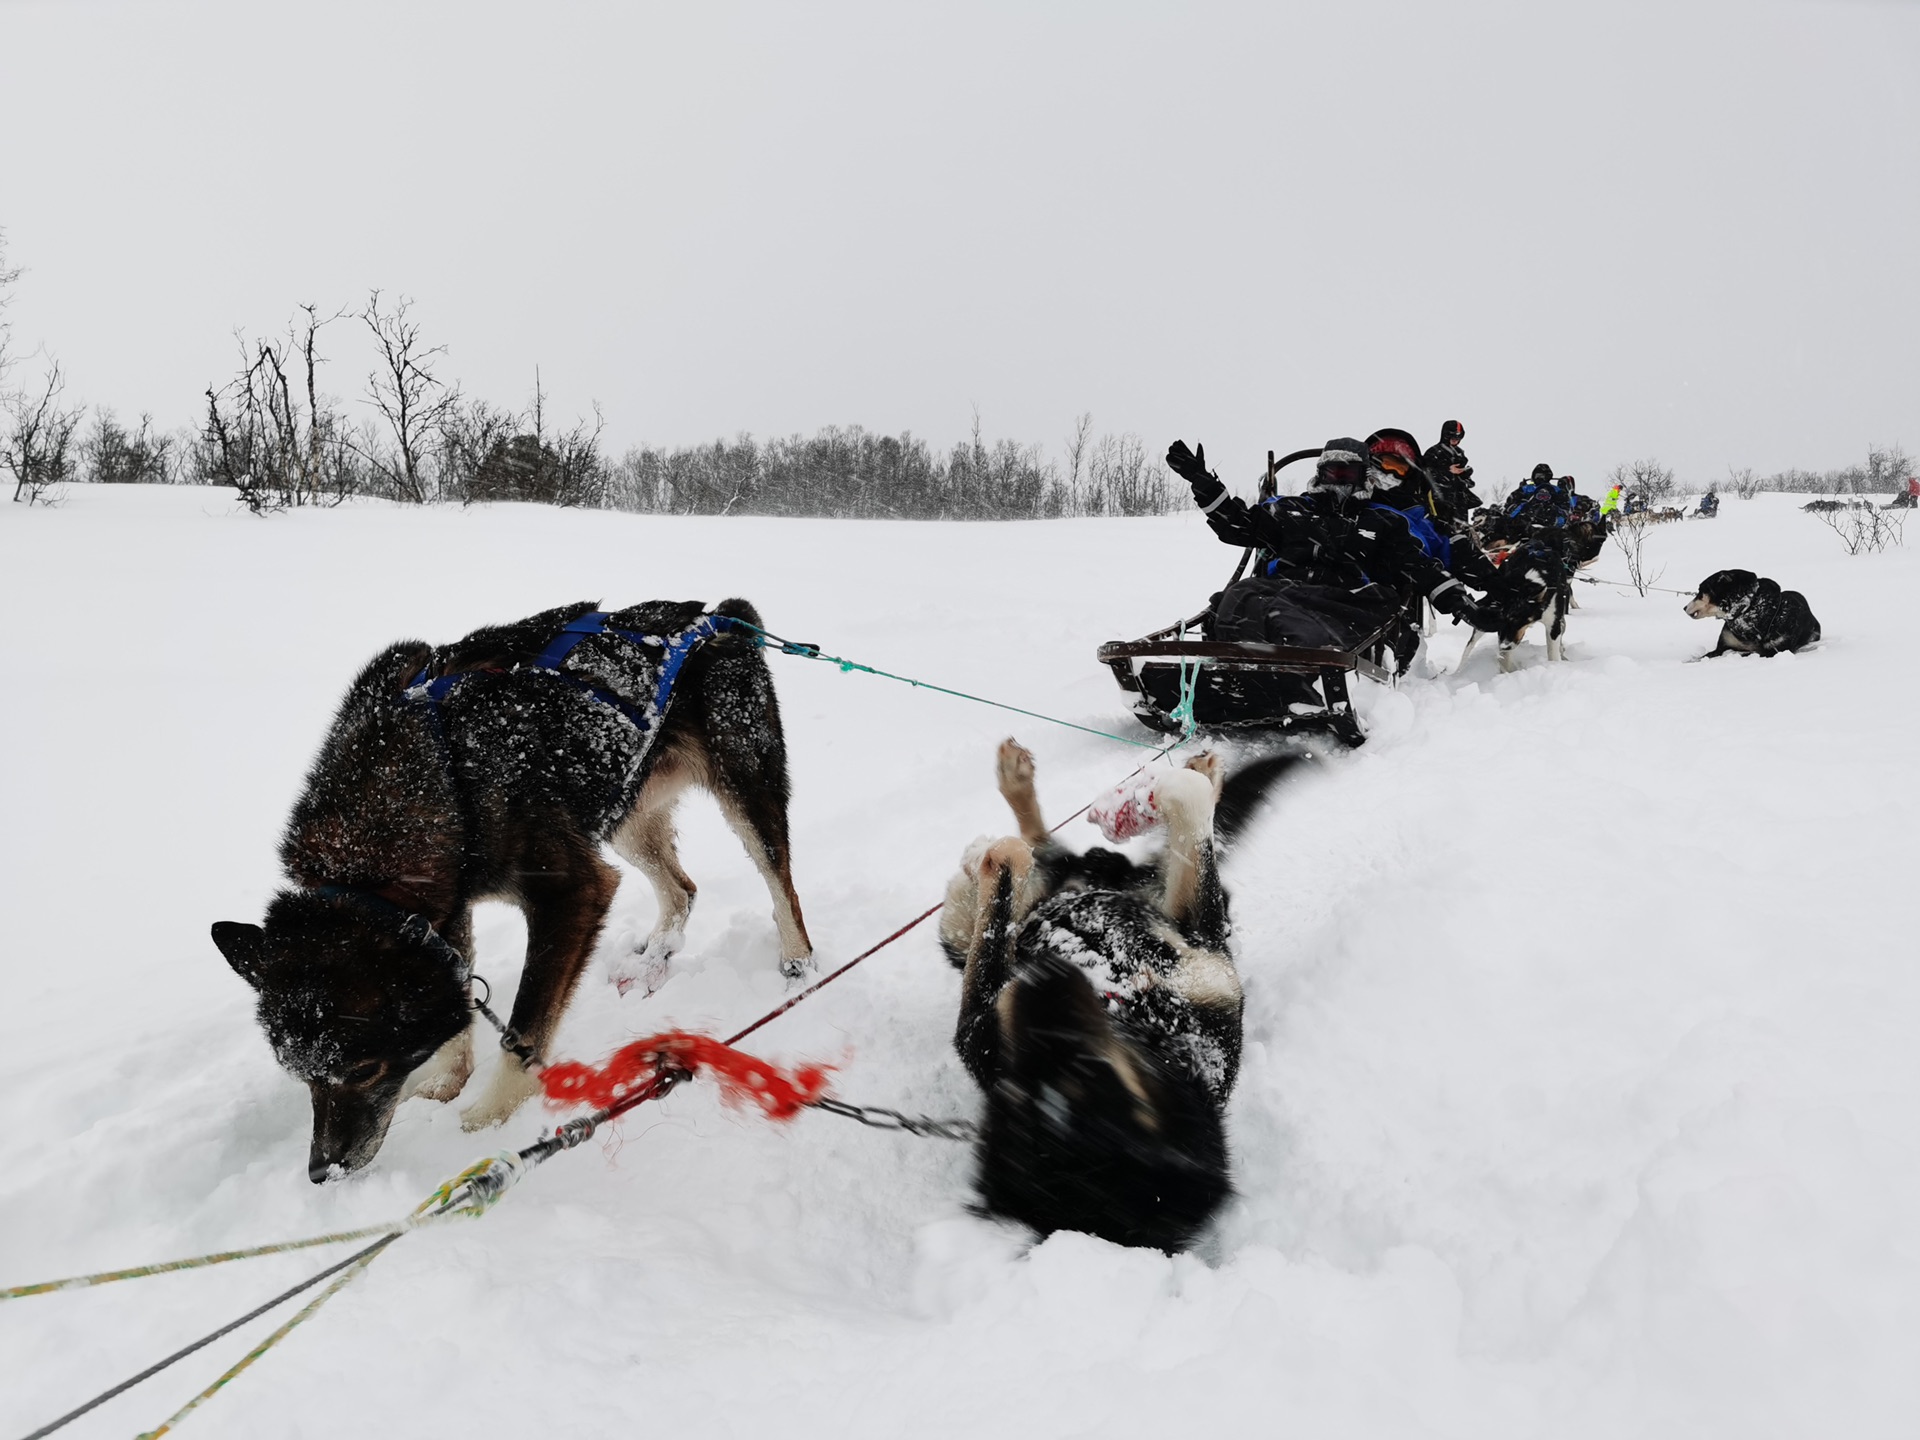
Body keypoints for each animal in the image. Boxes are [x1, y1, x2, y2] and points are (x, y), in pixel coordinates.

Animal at [210, 599, 810, 1182]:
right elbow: (458, 1015)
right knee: (682, 889)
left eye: (361, 1069)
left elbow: (522, 1033)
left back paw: (797, 966)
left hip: (743, 793)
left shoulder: (573, 893)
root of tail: (717, 616)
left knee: (781, 886)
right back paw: (650, 965)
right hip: (623, 811)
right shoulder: (444, 910)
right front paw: (446, 1085)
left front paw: (480, 1130)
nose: (321, 1169)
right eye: (301, 1075)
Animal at [936, 744, 1297, 1251]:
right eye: (1026, 1089)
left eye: (1089, 1078)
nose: (1042, 970)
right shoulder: (981, 1037)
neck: (1138, 1016)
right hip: (968, 931)